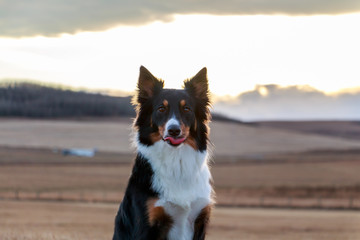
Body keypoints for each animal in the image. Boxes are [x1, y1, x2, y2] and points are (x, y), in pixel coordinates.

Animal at [112, 66, 214, 240]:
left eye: (187, 109)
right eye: (161, 108)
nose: (173, 130)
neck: (176, 160)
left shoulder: (199, 220)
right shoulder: (147, 224)